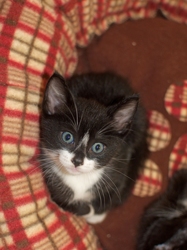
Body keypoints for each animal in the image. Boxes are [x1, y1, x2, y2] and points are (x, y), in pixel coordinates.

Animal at [39, 71, 148, 224]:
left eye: (97, 147)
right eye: (67, 137)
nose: (77, 161)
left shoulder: (121, 163)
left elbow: (113, 192)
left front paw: (97, 214)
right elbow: (60, 198)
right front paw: (85, 210)